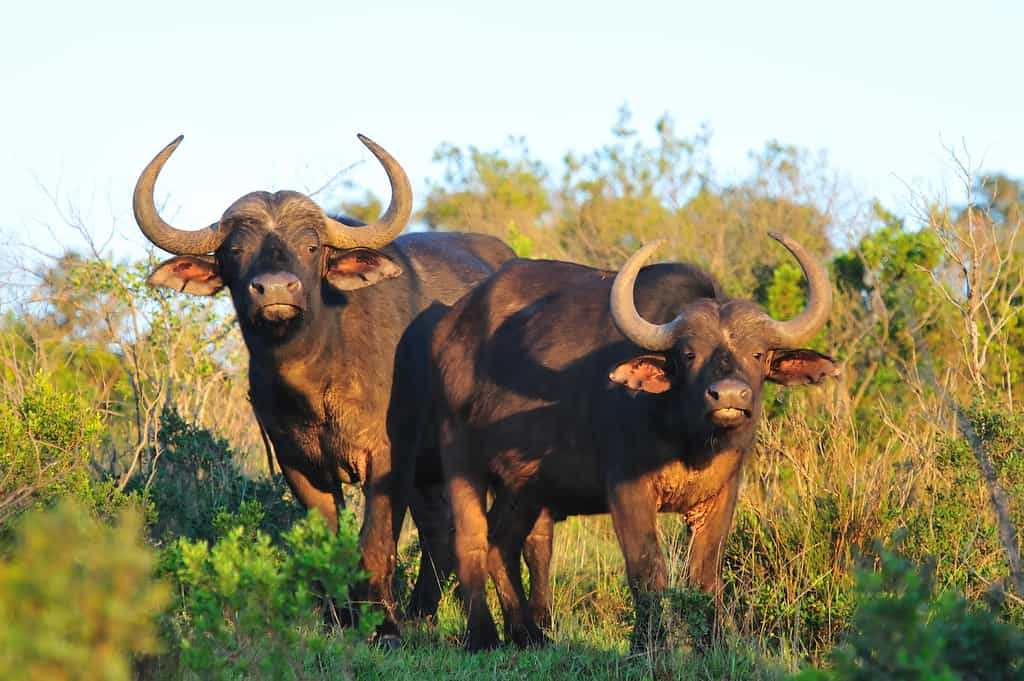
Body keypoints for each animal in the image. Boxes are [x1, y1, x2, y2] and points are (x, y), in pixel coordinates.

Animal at [133, 135, 515, 643]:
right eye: (235, 249)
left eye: (311, 246)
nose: (275, 289)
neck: (316, 380)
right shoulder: (298, 466)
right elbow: (329, 547)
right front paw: (342, 618)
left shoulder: (388, 458)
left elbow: (375, 545)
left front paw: (382, 627)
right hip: (428, 470)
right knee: (439, 530)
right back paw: (421, 612)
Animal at [432, 233, 839, 650]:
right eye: (689, 354)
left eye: (757, 353)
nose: (727, 395)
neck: (688, 440)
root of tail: (450, 330)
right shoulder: (627, 490)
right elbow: (647, 569)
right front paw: (646, 643)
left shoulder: (721, 494)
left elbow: (704, 574)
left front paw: (713, 644)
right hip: (460, 456)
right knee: (470, 540)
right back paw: (483, 636)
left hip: (524, 485)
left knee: (503, 542)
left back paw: (527, 634)